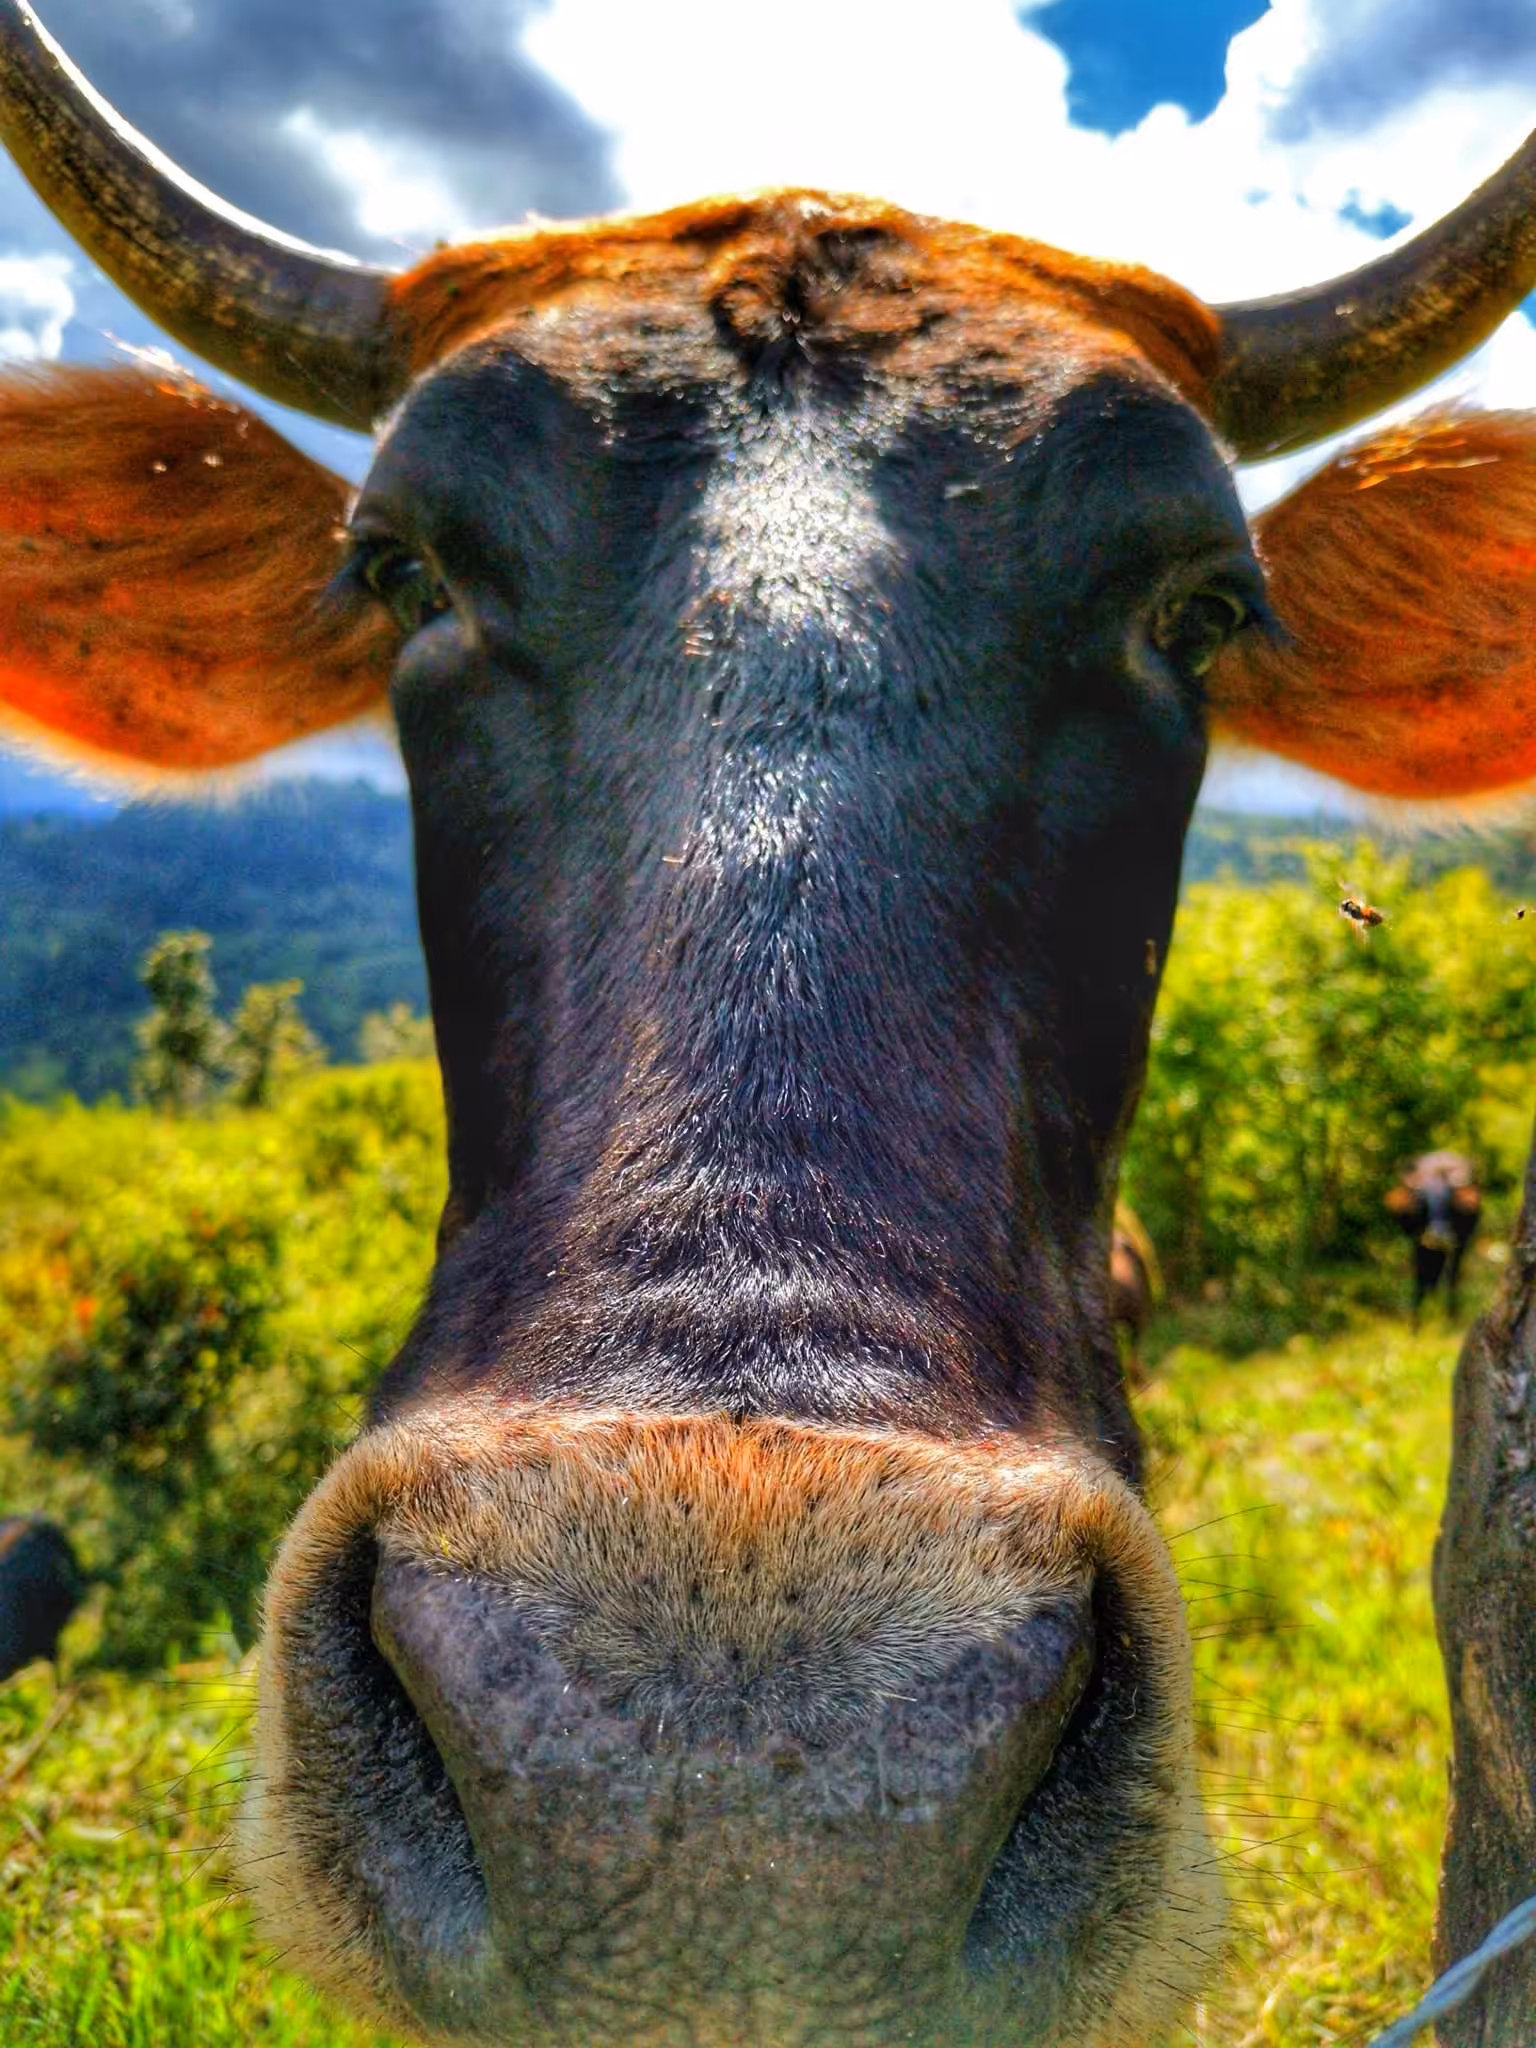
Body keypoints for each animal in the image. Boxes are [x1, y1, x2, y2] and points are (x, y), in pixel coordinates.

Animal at [1387, 1150, 1482, 1324]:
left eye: (1450, 1201)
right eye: (1422, 1201)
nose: (1438, 1236)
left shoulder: (1458, 1245)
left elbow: (1450, 1279)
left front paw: (1449, 1317)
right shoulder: (1417, 1243)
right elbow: (1421, 1279)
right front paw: (1416, 1320)